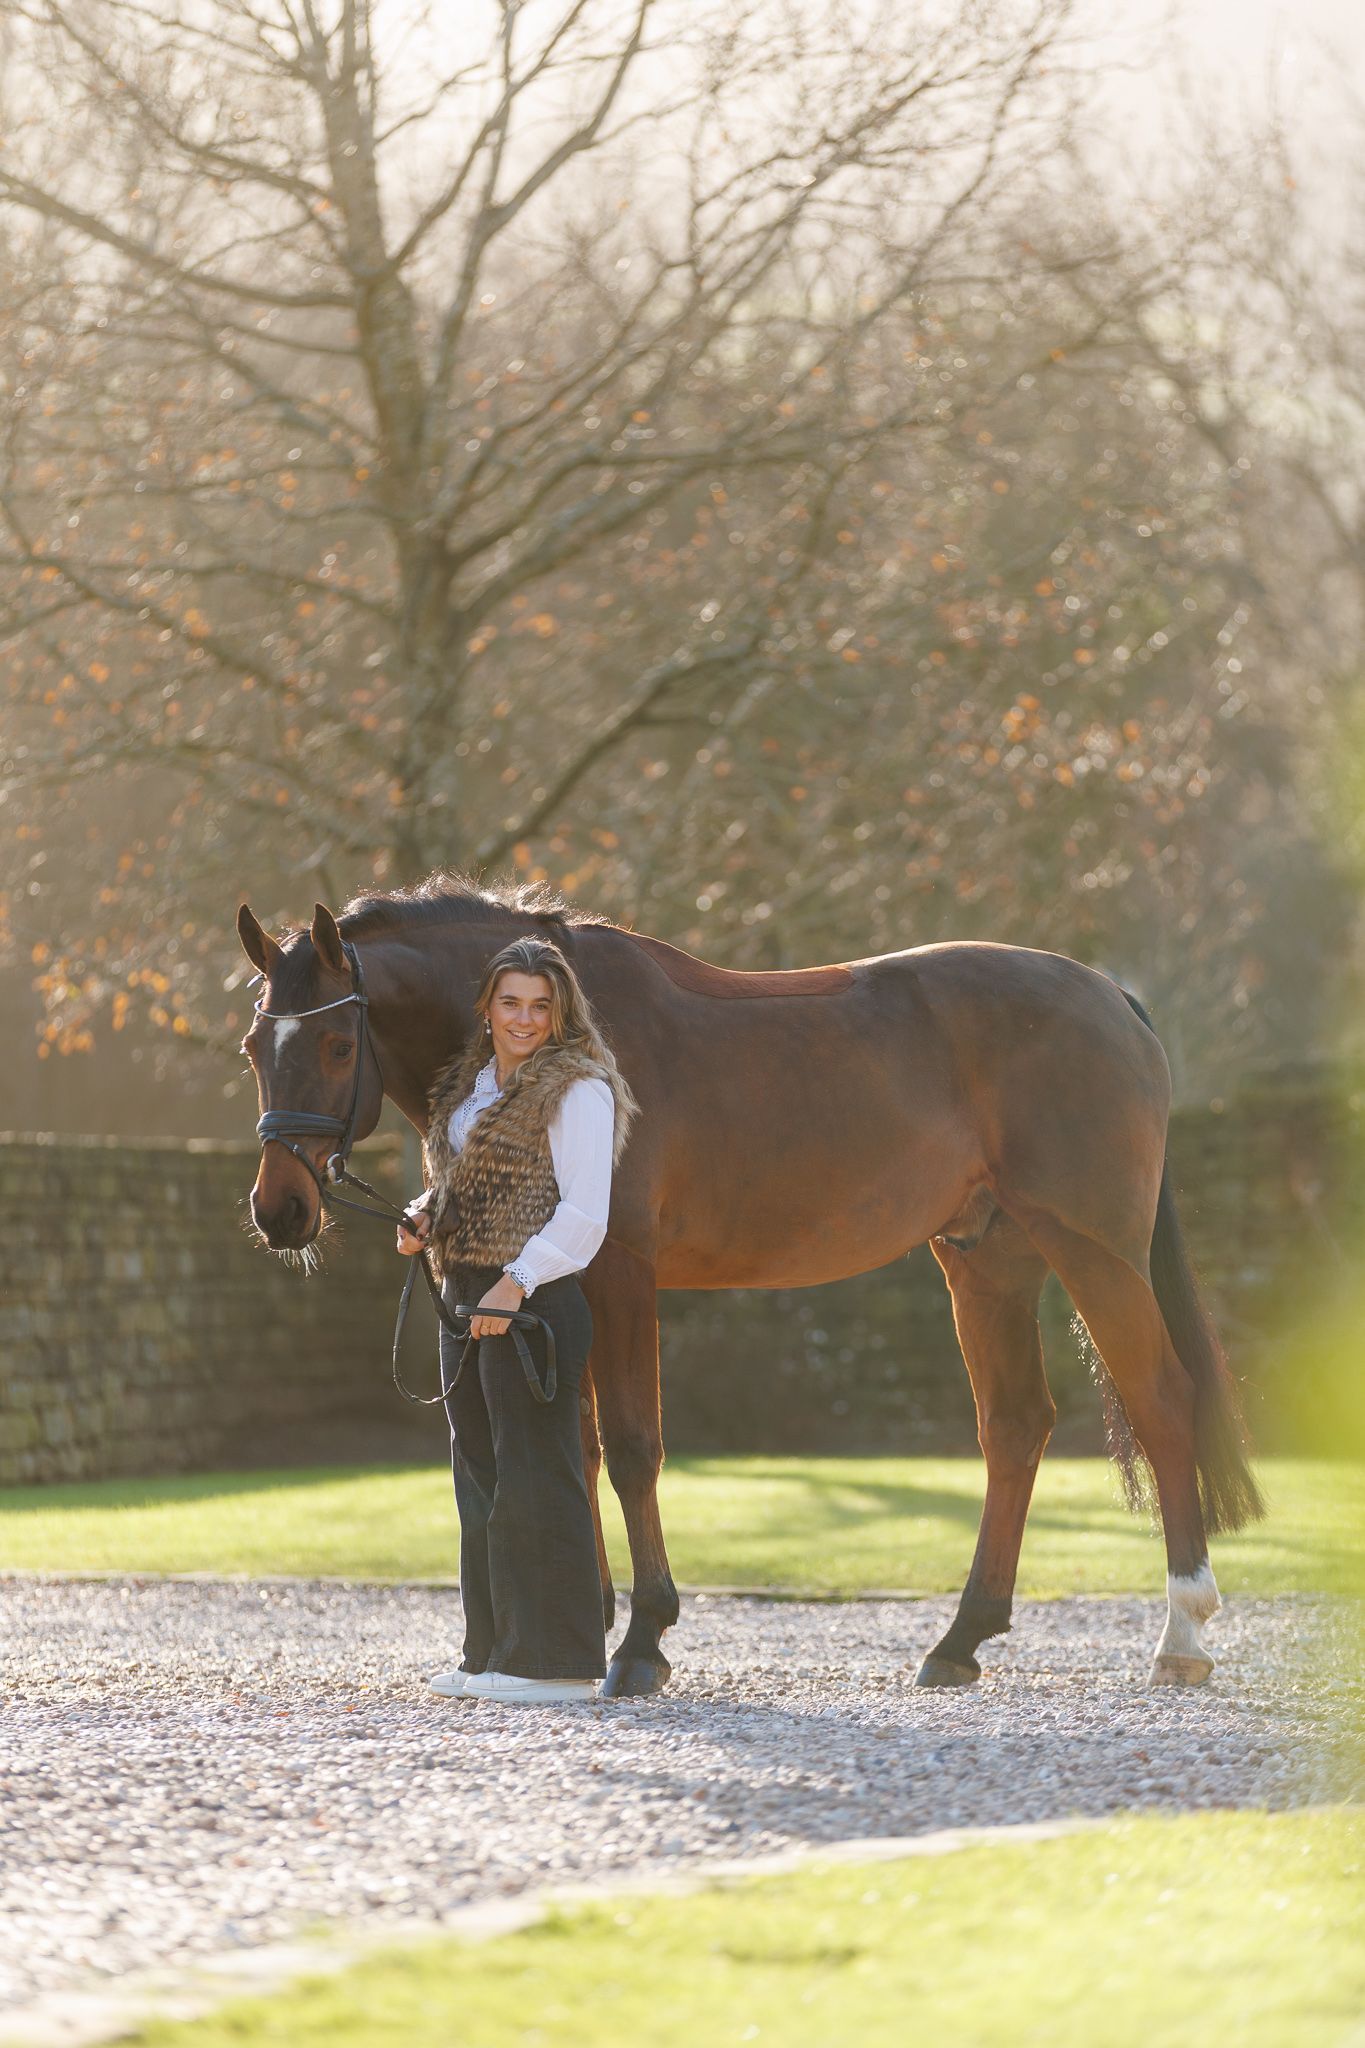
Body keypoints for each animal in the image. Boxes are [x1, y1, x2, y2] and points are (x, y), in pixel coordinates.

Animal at [238, 874, 1263, 1699]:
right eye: (254, 1044)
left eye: (337, 1046)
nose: (280, 1210)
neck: (576, 1033)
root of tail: (1110, 997)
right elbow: (581, 1444)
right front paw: (587, 1625)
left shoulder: (619, 1272)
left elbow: (633, 1449)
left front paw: (641, 1643)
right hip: (986, 1260)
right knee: (1013, 1429)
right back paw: (959, 1642)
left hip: (1095, 1252)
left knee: (1159, 1399)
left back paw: (1179, 1635)